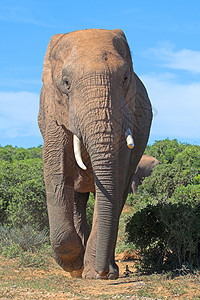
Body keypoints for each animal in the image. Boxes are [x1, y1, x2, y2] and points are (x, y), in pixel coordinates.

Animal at [38, 29, 152, 280]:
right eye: (66, 83)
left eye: (125, 79)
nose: (101, 272)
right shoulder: (54, 112)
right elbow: (56, 173)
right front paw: (74, 267)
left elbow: (113, 184)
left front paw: (94, 274)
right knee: (77, 200)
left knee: (117, 199)